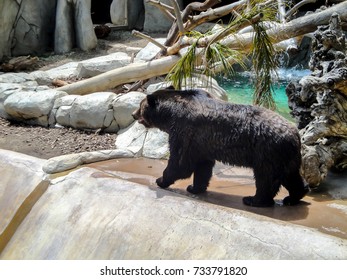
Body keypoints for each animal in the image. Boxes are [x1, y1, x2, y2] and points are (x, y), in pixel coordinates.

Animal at [133, 88, 310, 207]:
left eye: (140, 105)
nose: (134, 114)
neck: (171, 113)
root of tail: (295, 134)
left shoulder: (184, 130)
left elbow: (180, 163)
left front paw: (160, 180)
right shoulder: (201, 143)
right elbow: (202, 166)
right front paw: (194, 187)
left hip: (267, 151)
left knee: (266, 177)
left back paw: (254, 199)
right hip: (287, 156)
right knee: (291, 176)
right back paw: (294, 196)